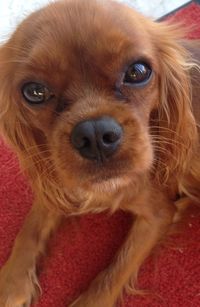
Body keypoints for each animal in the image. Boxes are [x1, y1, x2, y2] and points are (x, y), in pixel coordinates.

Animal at [0, 0, 199, 306]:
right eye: (34, 91)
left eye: (138, 71)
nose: (94, 135)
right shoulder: (59, 180)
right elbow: (29, 230)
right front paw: (11, 285)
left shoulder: (158, 214)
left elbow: (110, 279)